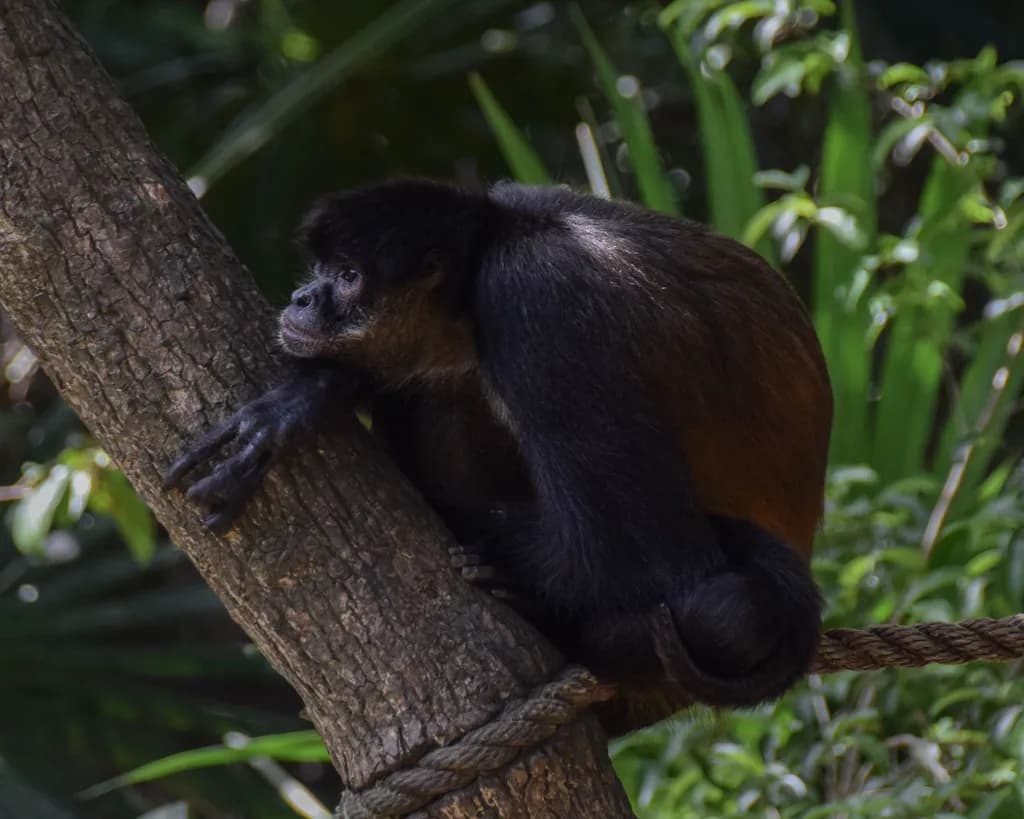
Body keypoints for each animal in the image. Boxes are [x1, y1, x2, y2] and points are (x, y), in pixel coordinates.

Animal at [164, 178, 832, 731]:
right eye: (322, 268)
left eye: (348, 275)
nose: (304, 296)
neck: (499, 238)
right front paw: (315, 392)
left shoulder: (534, 298)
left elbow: (632, 558)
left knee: (725, 610)